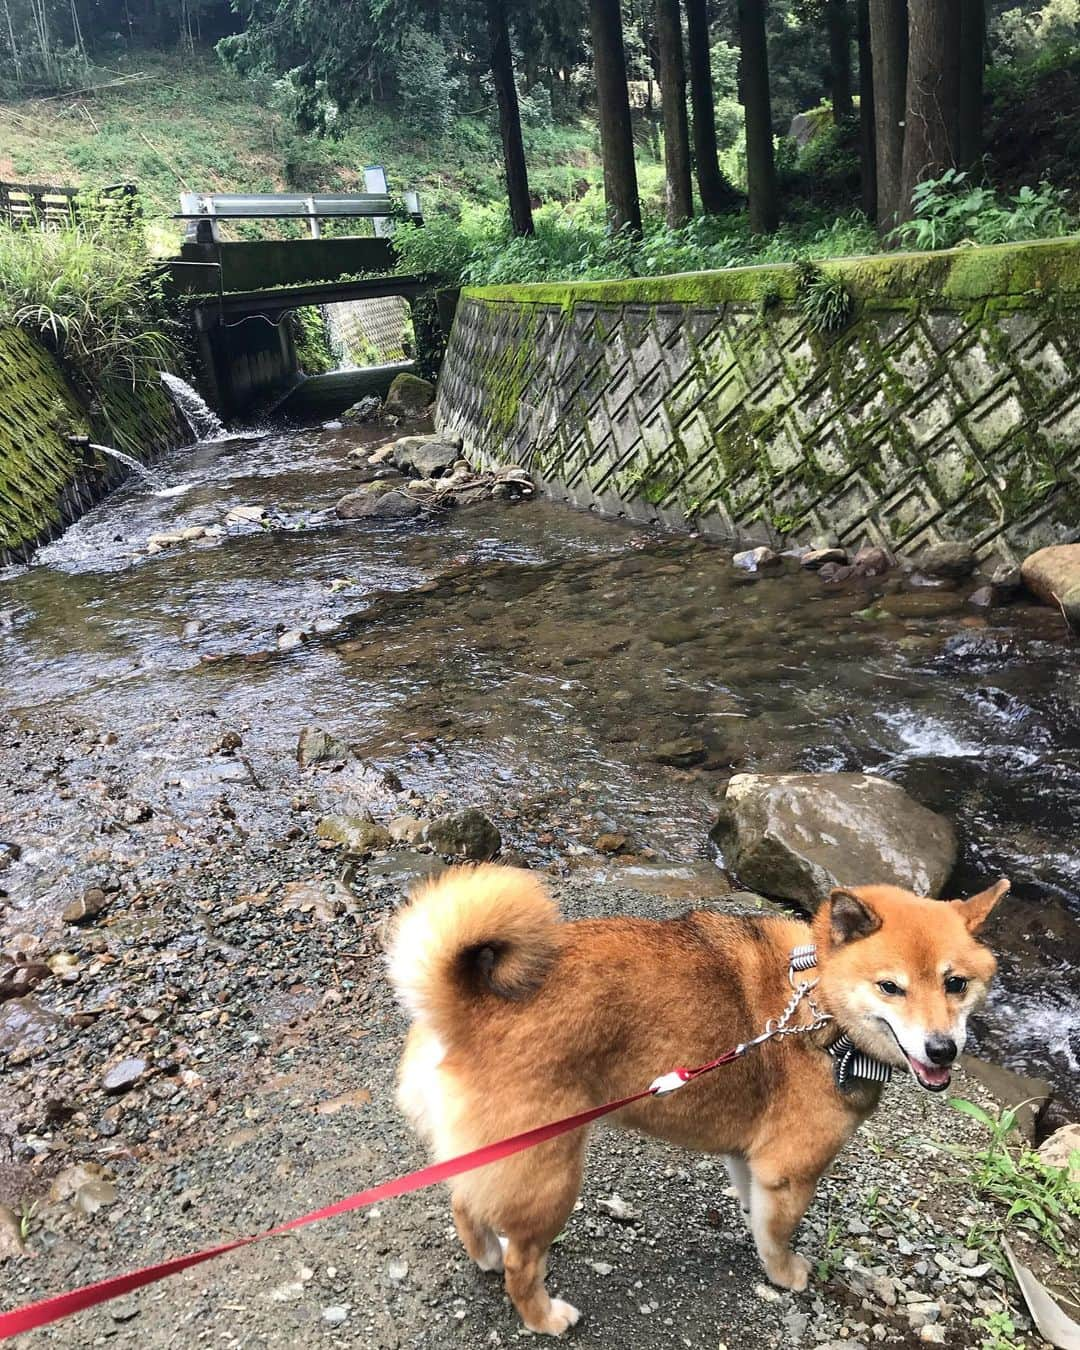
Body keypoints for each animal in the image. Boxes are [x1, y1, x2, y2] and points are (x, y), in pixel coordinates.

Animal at [386, 869, 1004, 1333]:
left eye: (955, 984)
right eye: (890, 987)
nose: (943, 1049)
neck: (820, 1011)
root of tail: (465, 1007)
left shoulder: (749, 1158)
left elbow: (756, 1211)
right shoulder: (790, 1171)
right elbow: (779, 1235)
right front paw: (785, 1274)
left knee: (466, 1204)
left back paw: (486, 1257)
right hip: (550, 1174)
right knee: (522, 1261)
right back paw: (543, 1315)